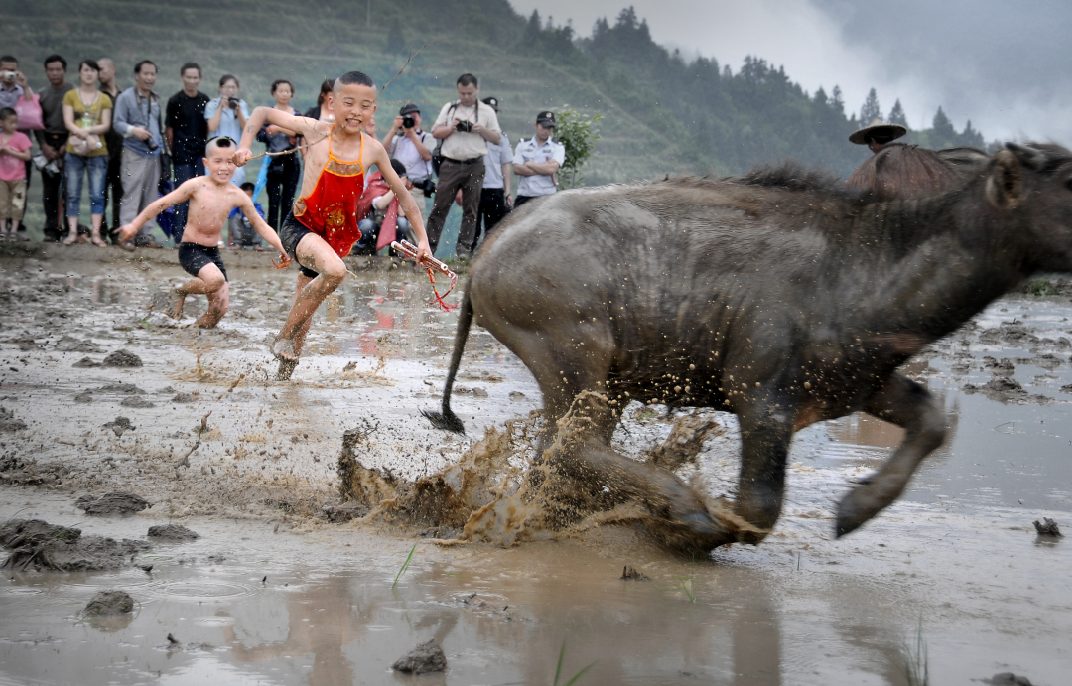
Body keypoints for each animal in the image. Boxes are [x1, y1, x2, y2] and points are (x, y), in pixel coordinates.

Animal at [424, 143, 1072, 553]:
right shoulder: (763, 400)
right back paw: (681, 505)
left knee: (558, 457)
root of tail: (490, 248)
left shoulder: (860, 382)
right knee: (573, 446)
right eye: (1066, 179)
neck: (862, 266)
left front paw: (855, 510)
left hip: (600, 379)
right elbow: (759, 507)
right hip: (575, 353)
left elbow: (932, 420)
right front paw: (691, 530)